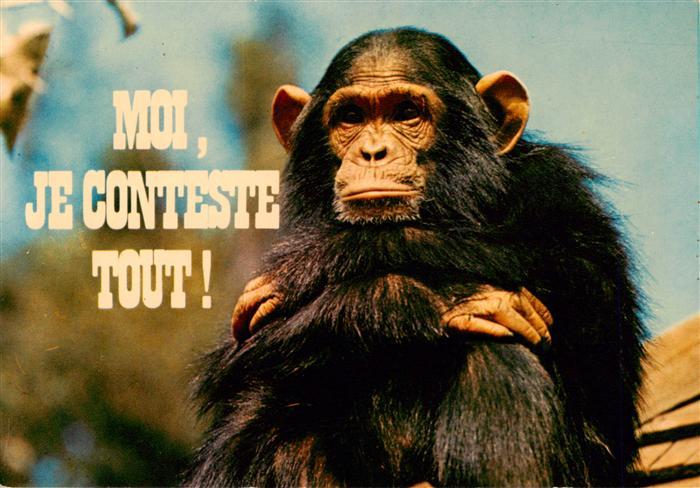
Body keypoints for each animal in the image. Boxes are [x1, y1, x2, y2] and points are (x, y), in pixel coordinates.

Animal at [188, 28, 646, 487]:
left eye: (406, 112)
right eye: (351, 117)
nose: (373, 151)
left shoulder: (560, 185)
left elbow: (591, 297)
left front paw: (320, 260)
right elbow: (240, 354)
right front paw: (425, 297)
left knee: (496, 351)